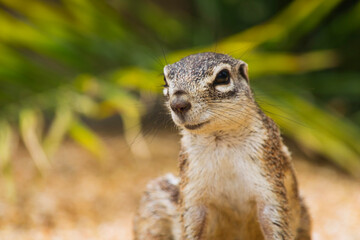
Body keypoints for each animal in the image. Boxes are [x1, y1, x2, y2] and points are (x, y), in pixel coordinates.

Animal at [134, 52, 310, 240]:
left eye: (223, 76)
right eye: (165, 80)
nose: (178, 104)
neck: (220, 141)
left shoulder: (270, 182)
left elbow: (273, 218)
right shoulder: (192, 191)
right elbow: (192, 222)